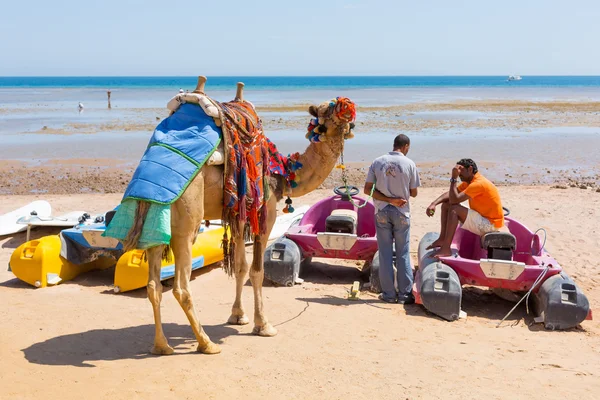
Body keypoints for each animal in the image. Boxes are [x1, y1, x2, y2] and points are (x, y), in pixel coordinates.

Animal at [123, 76, 354, 354]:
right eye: (328, 111)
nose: (348, 107)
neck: (283, 172)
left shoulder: (239, 215)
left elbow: (241, 267)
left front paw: (238, 316)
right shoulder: (265, 214)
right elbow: (257, 271)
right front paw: (263, 325)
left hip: (155, 219)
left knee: (153, 285)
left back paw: (162, 346)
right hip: (186, 220)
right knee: (180, 287)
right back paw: (207, 343)